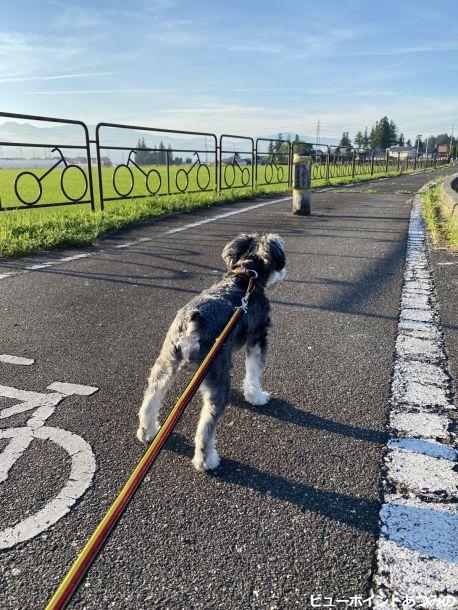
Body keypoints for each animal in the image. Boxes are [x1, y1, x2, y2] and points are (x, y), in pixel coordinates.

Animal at [136, 233, 286, 470]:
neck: (246, 275)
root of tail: (192, 323)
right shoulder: (258, 338)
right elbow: (254, 374)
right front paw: (257, 397)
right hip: (217, 374)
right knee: (206, 426)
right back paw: (207, 461)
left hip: (167, 362)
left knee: (151, 397)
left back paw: (147, 431)